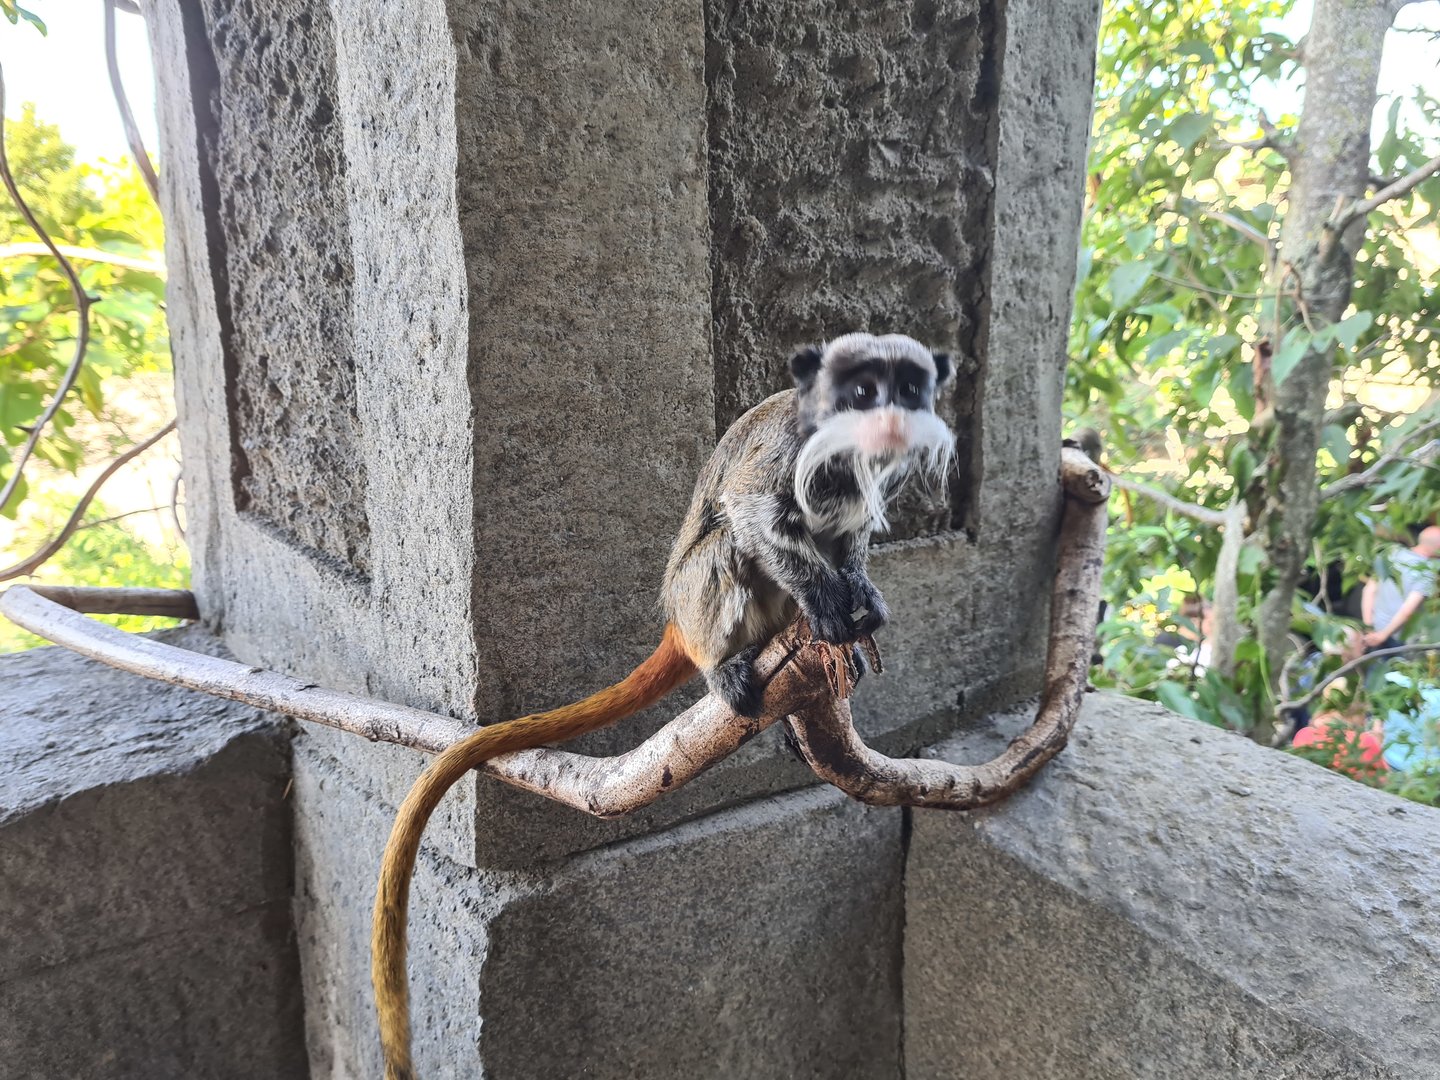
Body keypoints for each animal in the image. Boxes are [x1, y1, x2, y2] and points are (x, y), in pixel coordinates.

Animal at [373, 332, 956, 1080]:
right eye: (860, 391)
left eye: (906, 390)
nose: (884, 416)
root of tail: (680, 622)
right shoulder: (792, 449)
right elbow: (750, 508)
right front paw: (828, 601)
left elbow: (846, 534)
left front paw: (858, 593)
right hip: (693, 594)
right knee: (728, 542)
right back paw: (728, 662)